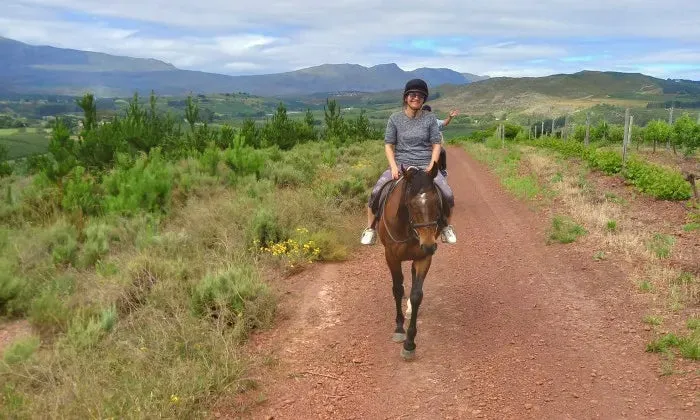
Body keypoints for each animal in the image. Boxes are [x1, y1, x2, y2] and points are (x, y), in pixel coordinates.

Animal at [378, 162, 448, 360]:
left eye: (437, 203)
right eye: (410, 204)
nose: (429, 245)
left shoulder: (423, 258)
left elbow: (417, 295)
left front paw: (410, 343)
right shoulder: (391, 257)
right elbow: (397, 290)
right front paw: (399, 329)